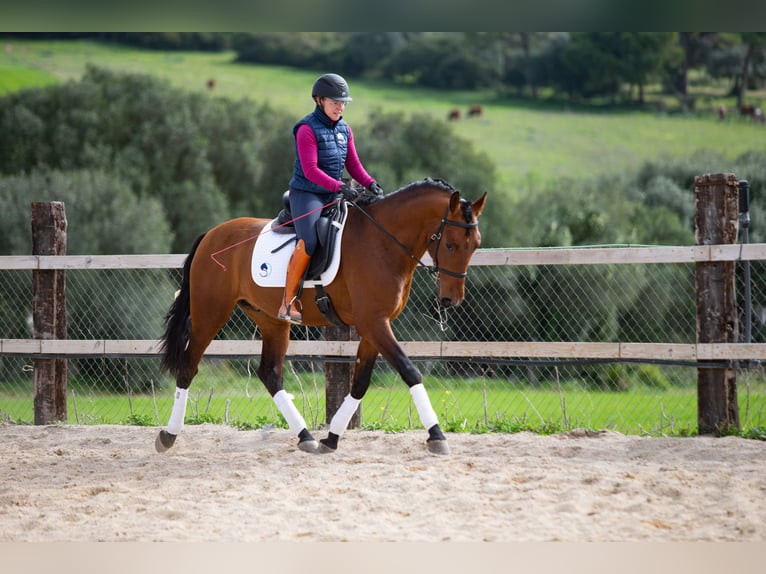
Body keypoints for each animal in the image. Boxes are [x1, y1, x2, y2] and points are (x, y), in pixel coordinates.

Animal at [158, 178, 486, 456]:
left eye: (476, 245)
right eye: (451, 244)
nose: (452, 299)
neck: (383, 243)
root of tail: (211, 235)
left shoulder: (374, 326)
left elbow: (360, 383)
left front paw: (331, 438)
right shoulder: (374, 324)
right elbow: (409, 370)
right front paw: (436, 435)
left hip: (271, 320)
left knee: (270, 373)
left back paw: (305, 437)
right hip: (210, 314)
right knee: (188, 367)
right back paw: (168, 435)